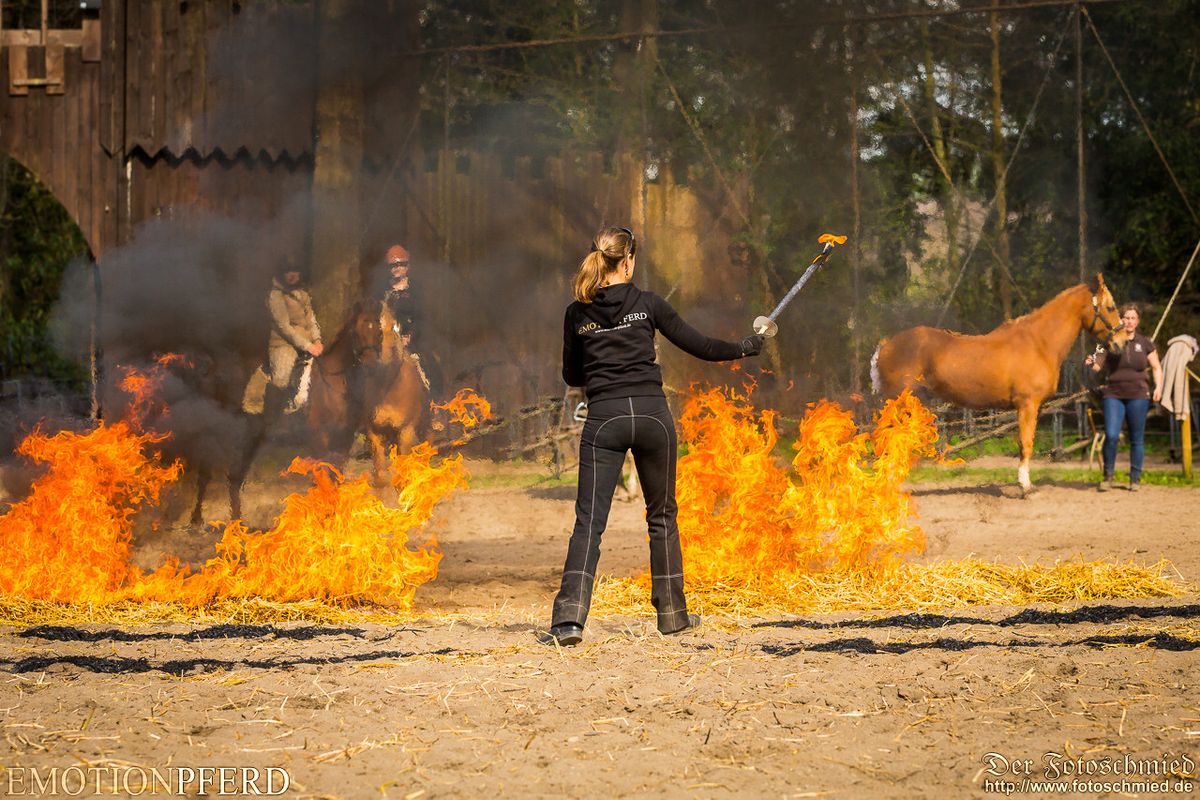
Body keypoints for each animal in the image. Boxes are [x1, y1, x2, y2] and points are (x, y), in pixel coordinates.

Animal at [868, 273, 1128, 494]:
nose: (1122, 343)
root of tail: (886, 345)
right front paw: (1025, 486)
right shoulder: (1027, 405)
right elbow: (1026, 443)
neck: (1040, 342)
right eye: (1110, 307)